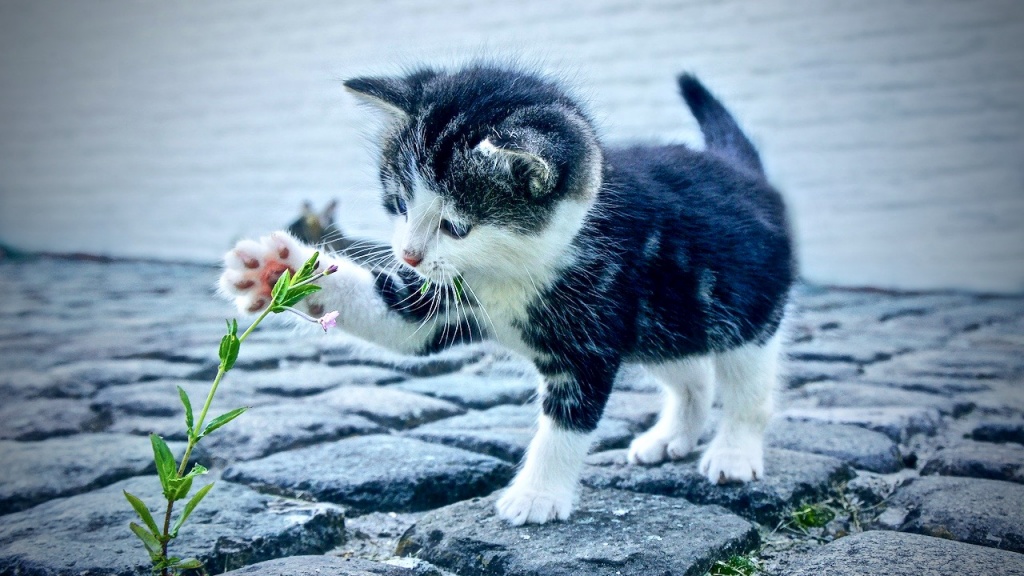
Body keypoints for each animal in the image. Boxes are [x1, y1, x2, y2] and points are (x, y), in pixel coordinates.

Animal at [220, 63, 794, 524]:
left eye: (455, 226)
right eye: (400, 203)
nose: (408, 254)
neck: (513, 268)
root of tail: (743, 171)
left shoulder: (592, 333)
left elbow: (567, 422)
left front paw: (537, 495)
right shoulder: (445, 298)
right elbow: (398, 319)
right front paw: (278, 269)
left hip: (744, 309)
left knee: (747, 385)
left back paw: (734, 452)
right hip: (664, 320)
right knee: (690, 371)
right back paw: (673, 436)